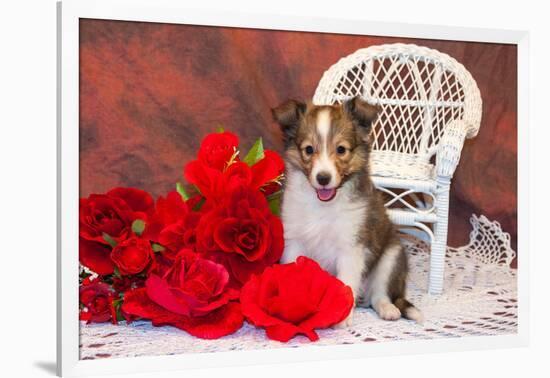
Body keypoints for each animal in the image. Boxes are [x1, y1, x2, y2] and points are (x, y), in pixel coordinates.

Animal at [272, 96, 422, 326]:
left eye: (341, 149)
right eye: (309, 149)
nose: (323, 178)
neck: (323, 206)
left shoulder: (351, 247)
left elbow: (346, 284)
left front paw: (341, 317)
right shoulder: (294, 241)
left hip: (392, 256)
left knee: (379, 294)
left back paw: (388, 309)